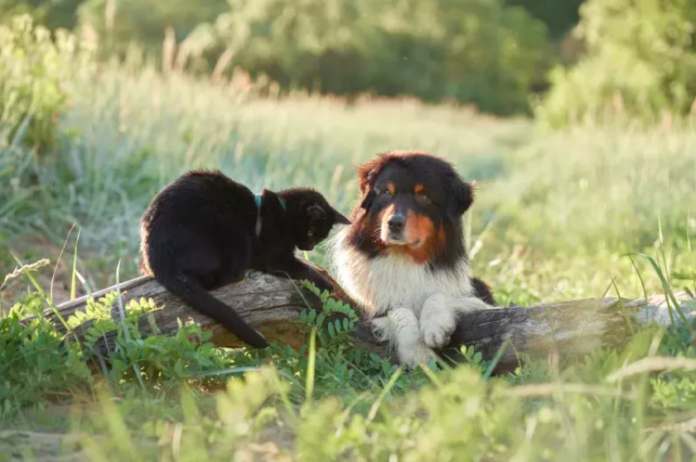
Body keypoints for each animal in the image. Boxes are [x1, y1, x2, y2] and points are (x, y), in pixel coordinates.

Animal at [139, 171, 350, 348]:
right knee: (218, 279)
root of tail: (158, 257)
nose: (309, 247)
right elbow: (302, 268)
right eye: (311, 232)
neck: (282, 213)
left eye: (319, 238)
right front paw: (325, 283)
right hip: (232, 231)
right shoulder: (274, 257)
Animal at [330, 152, 494, 368]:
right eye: (386, 192)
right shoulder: (371, 308)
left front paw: (435, 326)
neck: (405, 257)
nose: (394, 223)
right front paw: (416, 351)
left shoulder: (479, 300)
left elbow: (438, 296)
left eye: (423, 196)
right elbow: (399, 310)